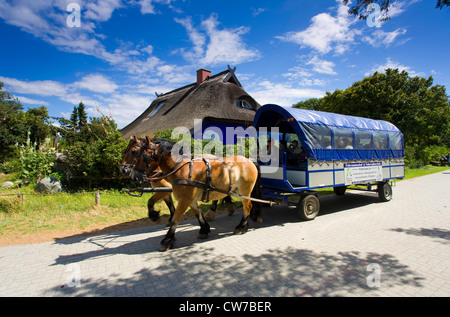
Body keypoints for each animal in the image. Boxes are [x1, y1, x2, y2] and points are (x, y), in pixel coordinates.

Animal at [132, 137, 262, 251]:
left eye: (144, 156)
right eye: (136, 153)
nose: (135, 177)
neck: (181, 169)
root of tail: (249, 161)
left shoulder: (184, 200)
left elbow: (175, 219)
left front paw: (167, 240)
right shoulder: (190, 200)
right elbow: (198, 214)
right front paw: (204, 229)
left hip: (245, 191)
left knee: (247, 206)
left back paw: (241, 226)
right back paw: (245, 224)